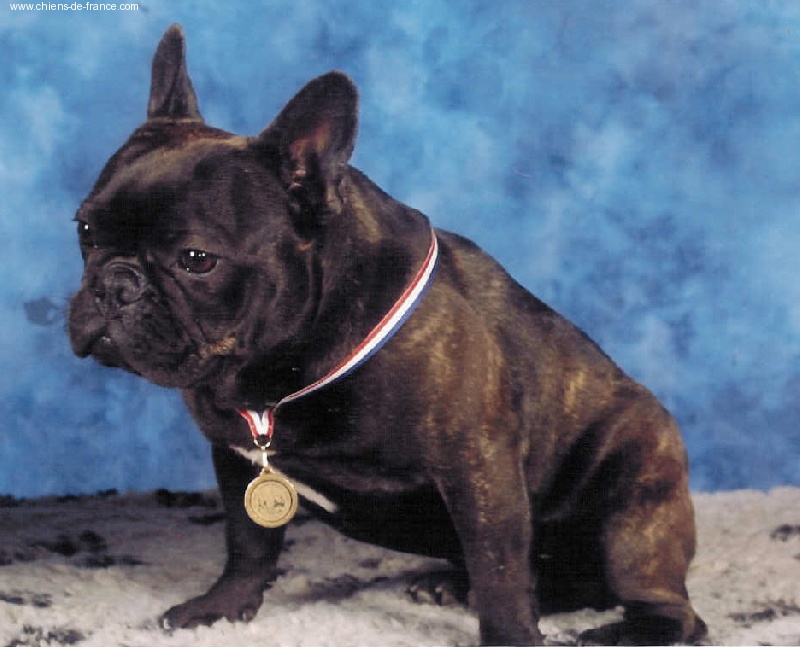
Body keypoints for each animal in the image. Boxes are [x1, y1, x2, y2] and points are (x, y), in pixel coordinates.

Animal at [68, 24, 706, 645]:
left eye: (196, 260)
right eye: (85, 230)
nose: (114, 284)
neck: (279, 367)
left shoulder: (479, 468)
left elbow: (500, 571)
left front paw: (510, 635)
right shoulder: (236, 456)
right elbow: (248, 543)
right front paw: (222, 608)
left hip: (633, 507)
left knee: (665, 606)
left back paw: (620, 630)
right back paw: (454, 586)